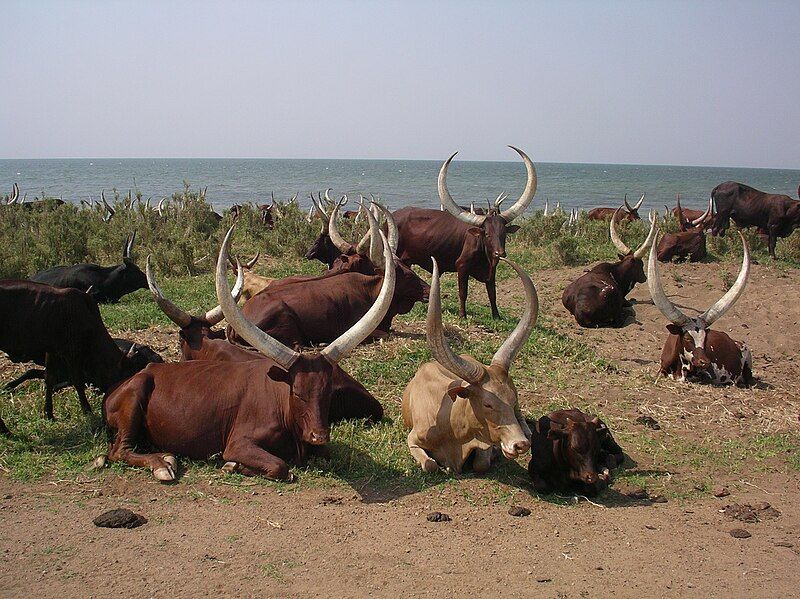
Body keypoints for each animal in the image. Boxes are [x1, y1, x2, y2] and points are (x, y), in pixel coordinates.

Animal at [103, 225, 396, 482]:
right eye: (296, 392)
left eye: (328, 394)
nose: (318, 435)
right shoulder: (238, 443)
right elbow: (280, 467)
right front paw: (232, 465)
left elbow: (320, 456)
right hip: (134, 400)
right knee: (119, 450)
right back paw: (162, 464)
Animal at [394, 146, 536, 318]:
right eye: (487, 234)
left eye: (504, 234)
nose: (499, 253)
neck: (484, 254)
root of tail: (394, 215)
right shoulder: (462, 267)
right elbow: (463, 292)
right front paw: (463, 315)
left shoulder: (492, 269)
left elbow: (492, 293)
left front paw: (496, 315)